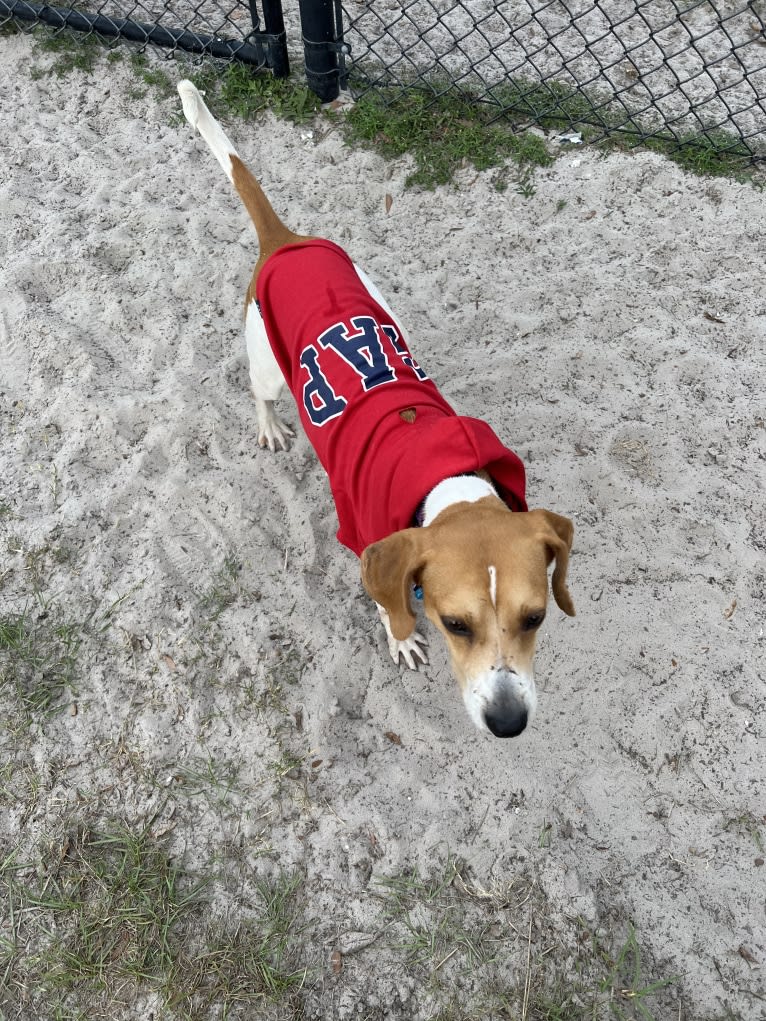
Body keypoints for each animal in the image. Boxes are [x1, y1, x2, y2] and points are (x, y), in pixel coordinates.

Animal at [178, 79, 576, 735]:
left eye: (536, 617)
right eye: (453, 624)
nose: (509, 722)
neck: (447, 480)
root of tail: (286, 242)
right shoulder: (368, 546)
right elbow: (391, 606)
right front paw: (401, 636)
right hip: (268, 368)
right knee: (259, 395)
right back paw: (271, 427)